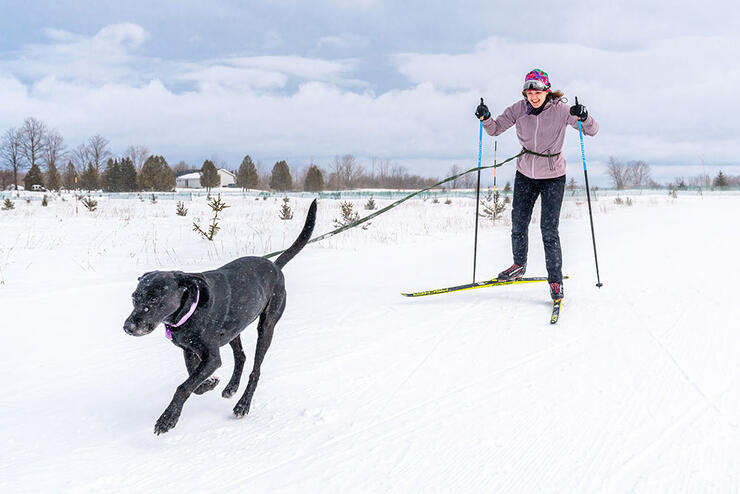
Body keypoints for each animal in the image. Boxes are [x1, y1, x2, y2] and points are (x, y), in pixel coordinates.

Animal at [122, 199, 318, 434]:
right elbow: (192, 380)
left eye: (154, 299)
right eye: (134, 298)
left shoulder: (212, 357)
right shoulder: (189, 350)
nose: (128, 327)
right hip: (235, 327)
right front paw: (208, 384)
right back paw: (231, 387)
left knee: (256, 369)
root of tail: (275, 266)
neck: (191, 310)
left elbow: (183, 387)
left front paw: (168, 419)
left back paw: (243, 404)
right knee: (241, 356)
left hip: (267, 326)